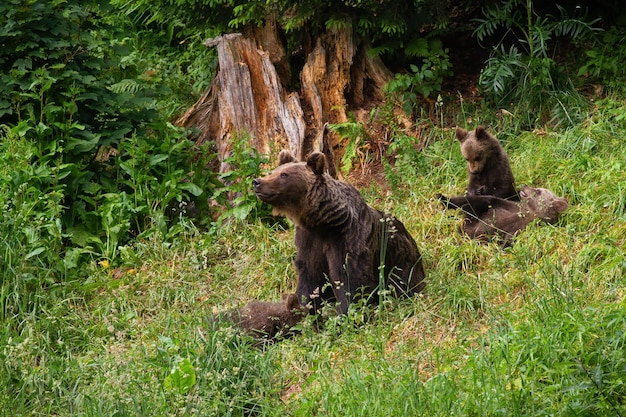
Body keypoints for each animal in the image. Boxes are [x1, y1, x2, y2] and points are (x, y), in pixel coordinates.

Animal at [251, 151, 422, 314]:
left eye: (284, 175)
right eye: (273, 171)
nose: (257, 182)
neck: (323, 223)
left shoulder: (347, 238)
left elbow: (349, 278)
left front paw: (345, 314)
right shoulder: (309, 240)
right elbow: (310, 276)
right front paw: (307, 308)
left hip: (400, 260)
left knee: (403, 281)